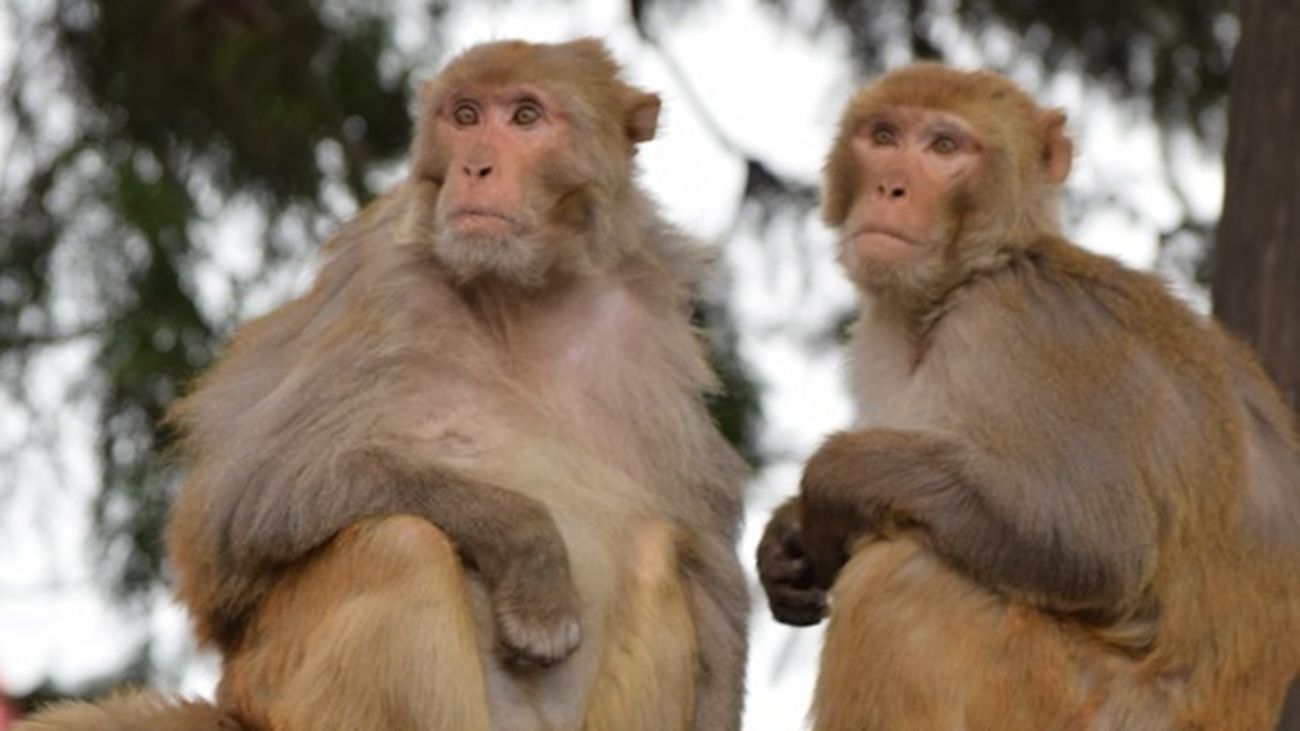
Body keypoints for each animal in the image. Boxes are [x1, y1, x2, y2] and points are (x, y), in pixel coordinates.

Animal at [22, 38, 749, 731]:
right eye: (465, 116)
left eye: (525, 116)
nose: (475, 167)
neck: (521, 299)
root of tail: (233, 706)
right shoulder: (380, 281)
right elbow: (244, 499)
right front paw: (529, 549)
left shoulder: (654, 327)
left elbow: (710, 567)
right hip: (283, 691)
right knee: (401, 542)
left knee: (658, 552)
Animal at [756, 63, 1300, 731]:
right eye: (883, 136)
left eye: (944, 146)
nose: (890, 187)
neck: (972, 275)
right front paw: (785, 541)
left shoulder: (1021, 330)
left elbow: (1096, 545)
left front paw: (835, 480)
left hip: (1072, 705)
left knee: (904, 577)